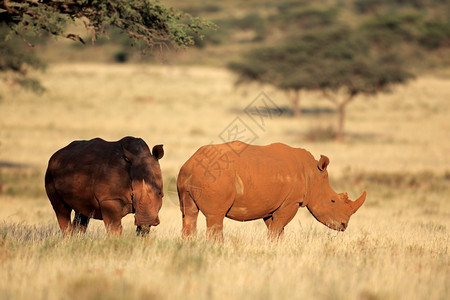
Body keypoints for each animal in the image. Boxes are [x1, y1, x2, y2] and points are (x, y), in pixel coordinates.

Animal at [176, 141, 366, 241]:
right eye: (332, 201)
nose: (343, 226)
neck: (313, 174)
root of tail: (190, 164)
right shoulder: (291, 202)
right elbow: (278, 227)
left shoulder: (272, 203)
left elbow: (276, 228)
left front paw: (277, 247)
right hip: (215, 176)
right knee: (215, 216)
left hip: (190, 176)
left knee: (189, 214)